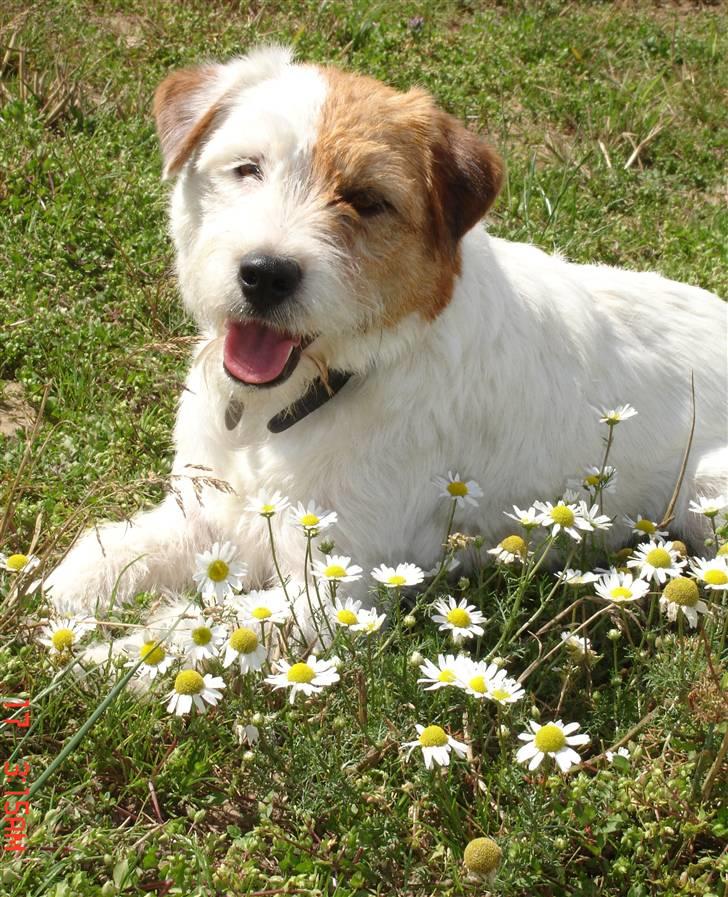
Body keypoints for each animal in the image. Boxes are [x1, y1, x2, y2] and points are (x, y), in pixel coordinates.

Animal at [47, 47, 728, 616]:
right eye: (247, 168)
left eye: (368, 200)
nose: (265, 275)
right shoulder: (210, 505)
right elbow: (112, 551)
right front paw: (64, 599)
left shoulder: (332, 589)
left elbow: (193, 640)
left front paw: (106, 659)